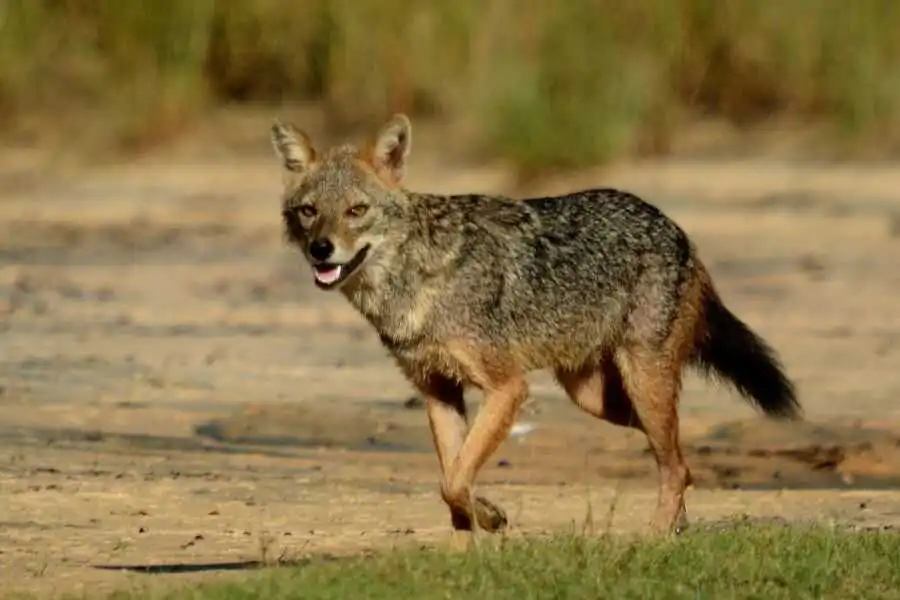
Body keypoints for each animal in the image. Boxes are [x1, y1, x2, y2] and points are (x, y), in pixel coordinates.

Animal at [269, 113, 800, 536]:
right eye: (309, 212)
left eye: (356, 210)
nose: (321, 250)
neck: (416, 283)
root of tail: (675, 228)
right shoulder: (438, 391)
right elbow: (452, 487)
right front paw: (468, 547)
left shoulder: (507, 387)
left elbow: (455, 479)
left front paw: (490, 519)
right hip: (596, 398)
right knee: (680, 460)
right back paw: (678, 527)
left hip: (640, 384)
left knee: (674, 466)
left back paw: (656, 539)